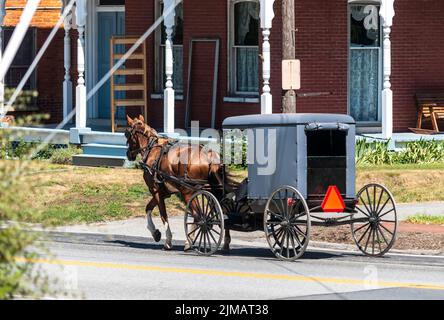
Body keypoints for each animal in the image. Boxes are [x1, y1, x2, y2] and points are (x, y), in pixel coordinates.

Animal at [123, 116, 231, 251]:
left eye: (127, 134)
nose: (128, 154)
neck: (152, 149)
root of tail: (210, 155)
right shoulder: (164, 192)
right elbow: (148, 208)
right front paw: (155, 233)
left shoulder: (155, 191)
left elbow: (163, 215)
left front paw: (167, 241)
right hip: (211, 190)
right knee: (224, 213)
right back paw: (225, 242)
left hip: (188, 192)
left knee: (198, 215)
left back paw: (189, 241)